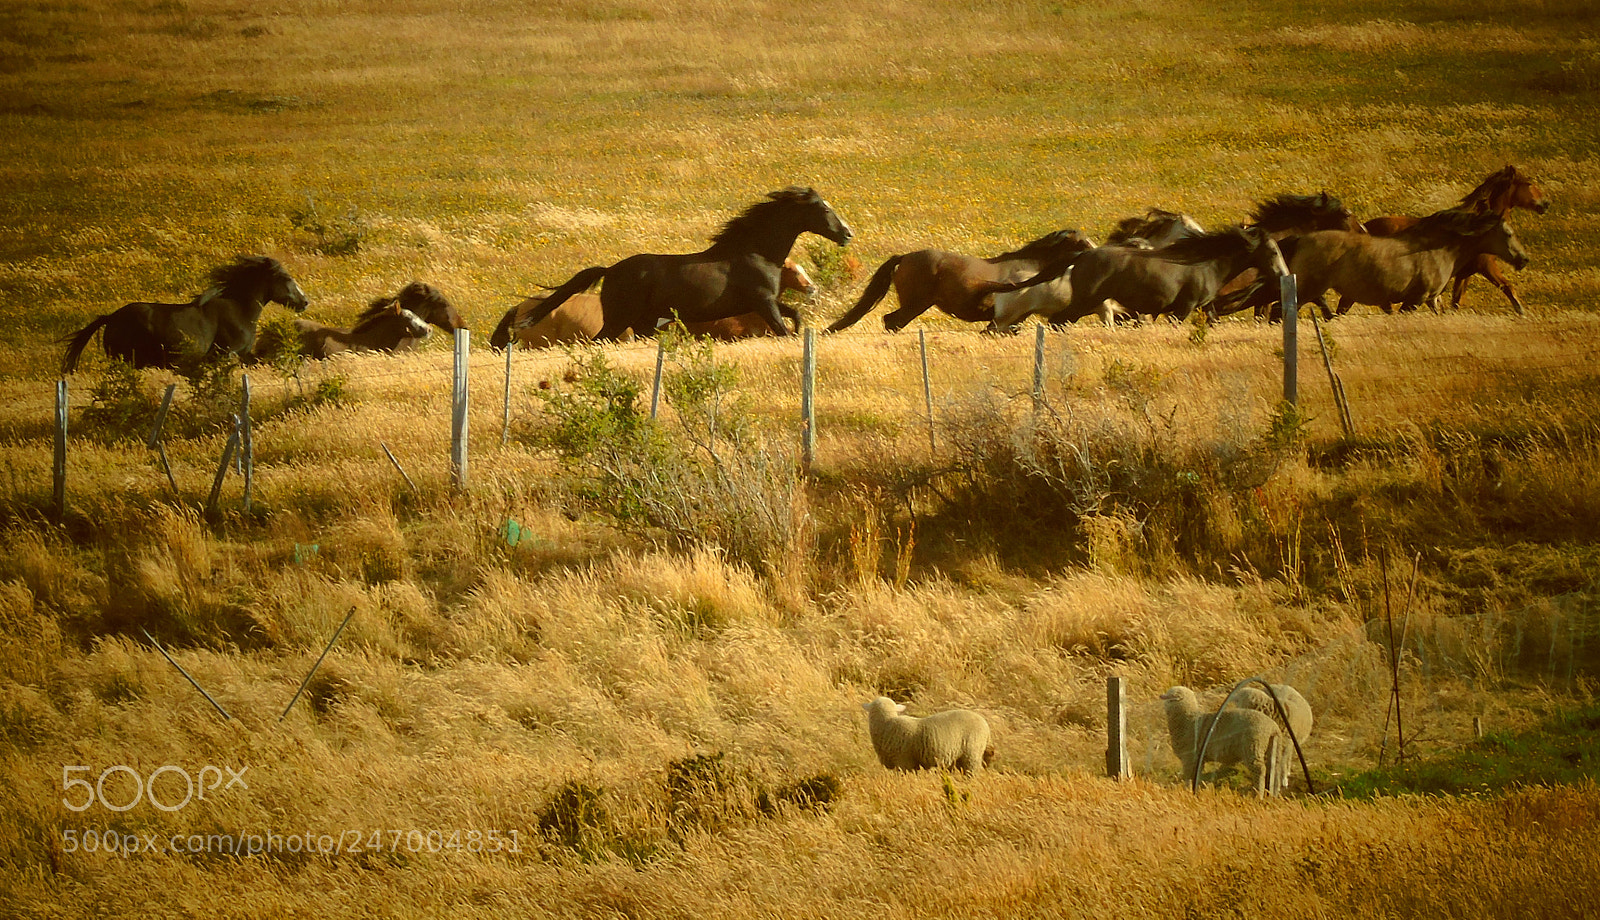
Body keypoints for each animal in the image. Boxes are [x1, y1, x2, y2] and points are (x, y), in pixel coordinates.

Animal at [61, 255, 308, 374]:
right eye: (285, 277)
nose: (305, 301)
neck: (240, 309)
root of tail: (111, 317)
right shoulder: (226, 354)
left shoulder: (245, 355)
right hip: (125, 360)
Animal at [511, 187, 851, 342]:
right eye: (823, 209)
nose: (847, 234)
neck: (757, 253)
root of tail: (610, 271)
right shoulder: (763, 302)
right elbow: (783, 328)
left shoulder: (761, 303)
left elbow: (794, 318)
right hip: (619, 320)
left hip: (644, 322)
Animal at [1290, 209, 1530, 320]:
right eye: (1508, 233)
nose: (1524, 259)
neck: (1438, 249)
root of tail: (1301, 239)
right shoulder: (1415, 299)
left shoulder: (1431, 299)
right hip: (1307, 290)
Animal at [1351, 166, 1548, 315]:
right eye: (1529, 183)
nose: (1546, 204)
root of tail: (1364, 226)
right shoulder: (1487, 267)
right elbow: (1509, 289)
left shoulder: (1463, 275)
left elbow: (1455, 302)